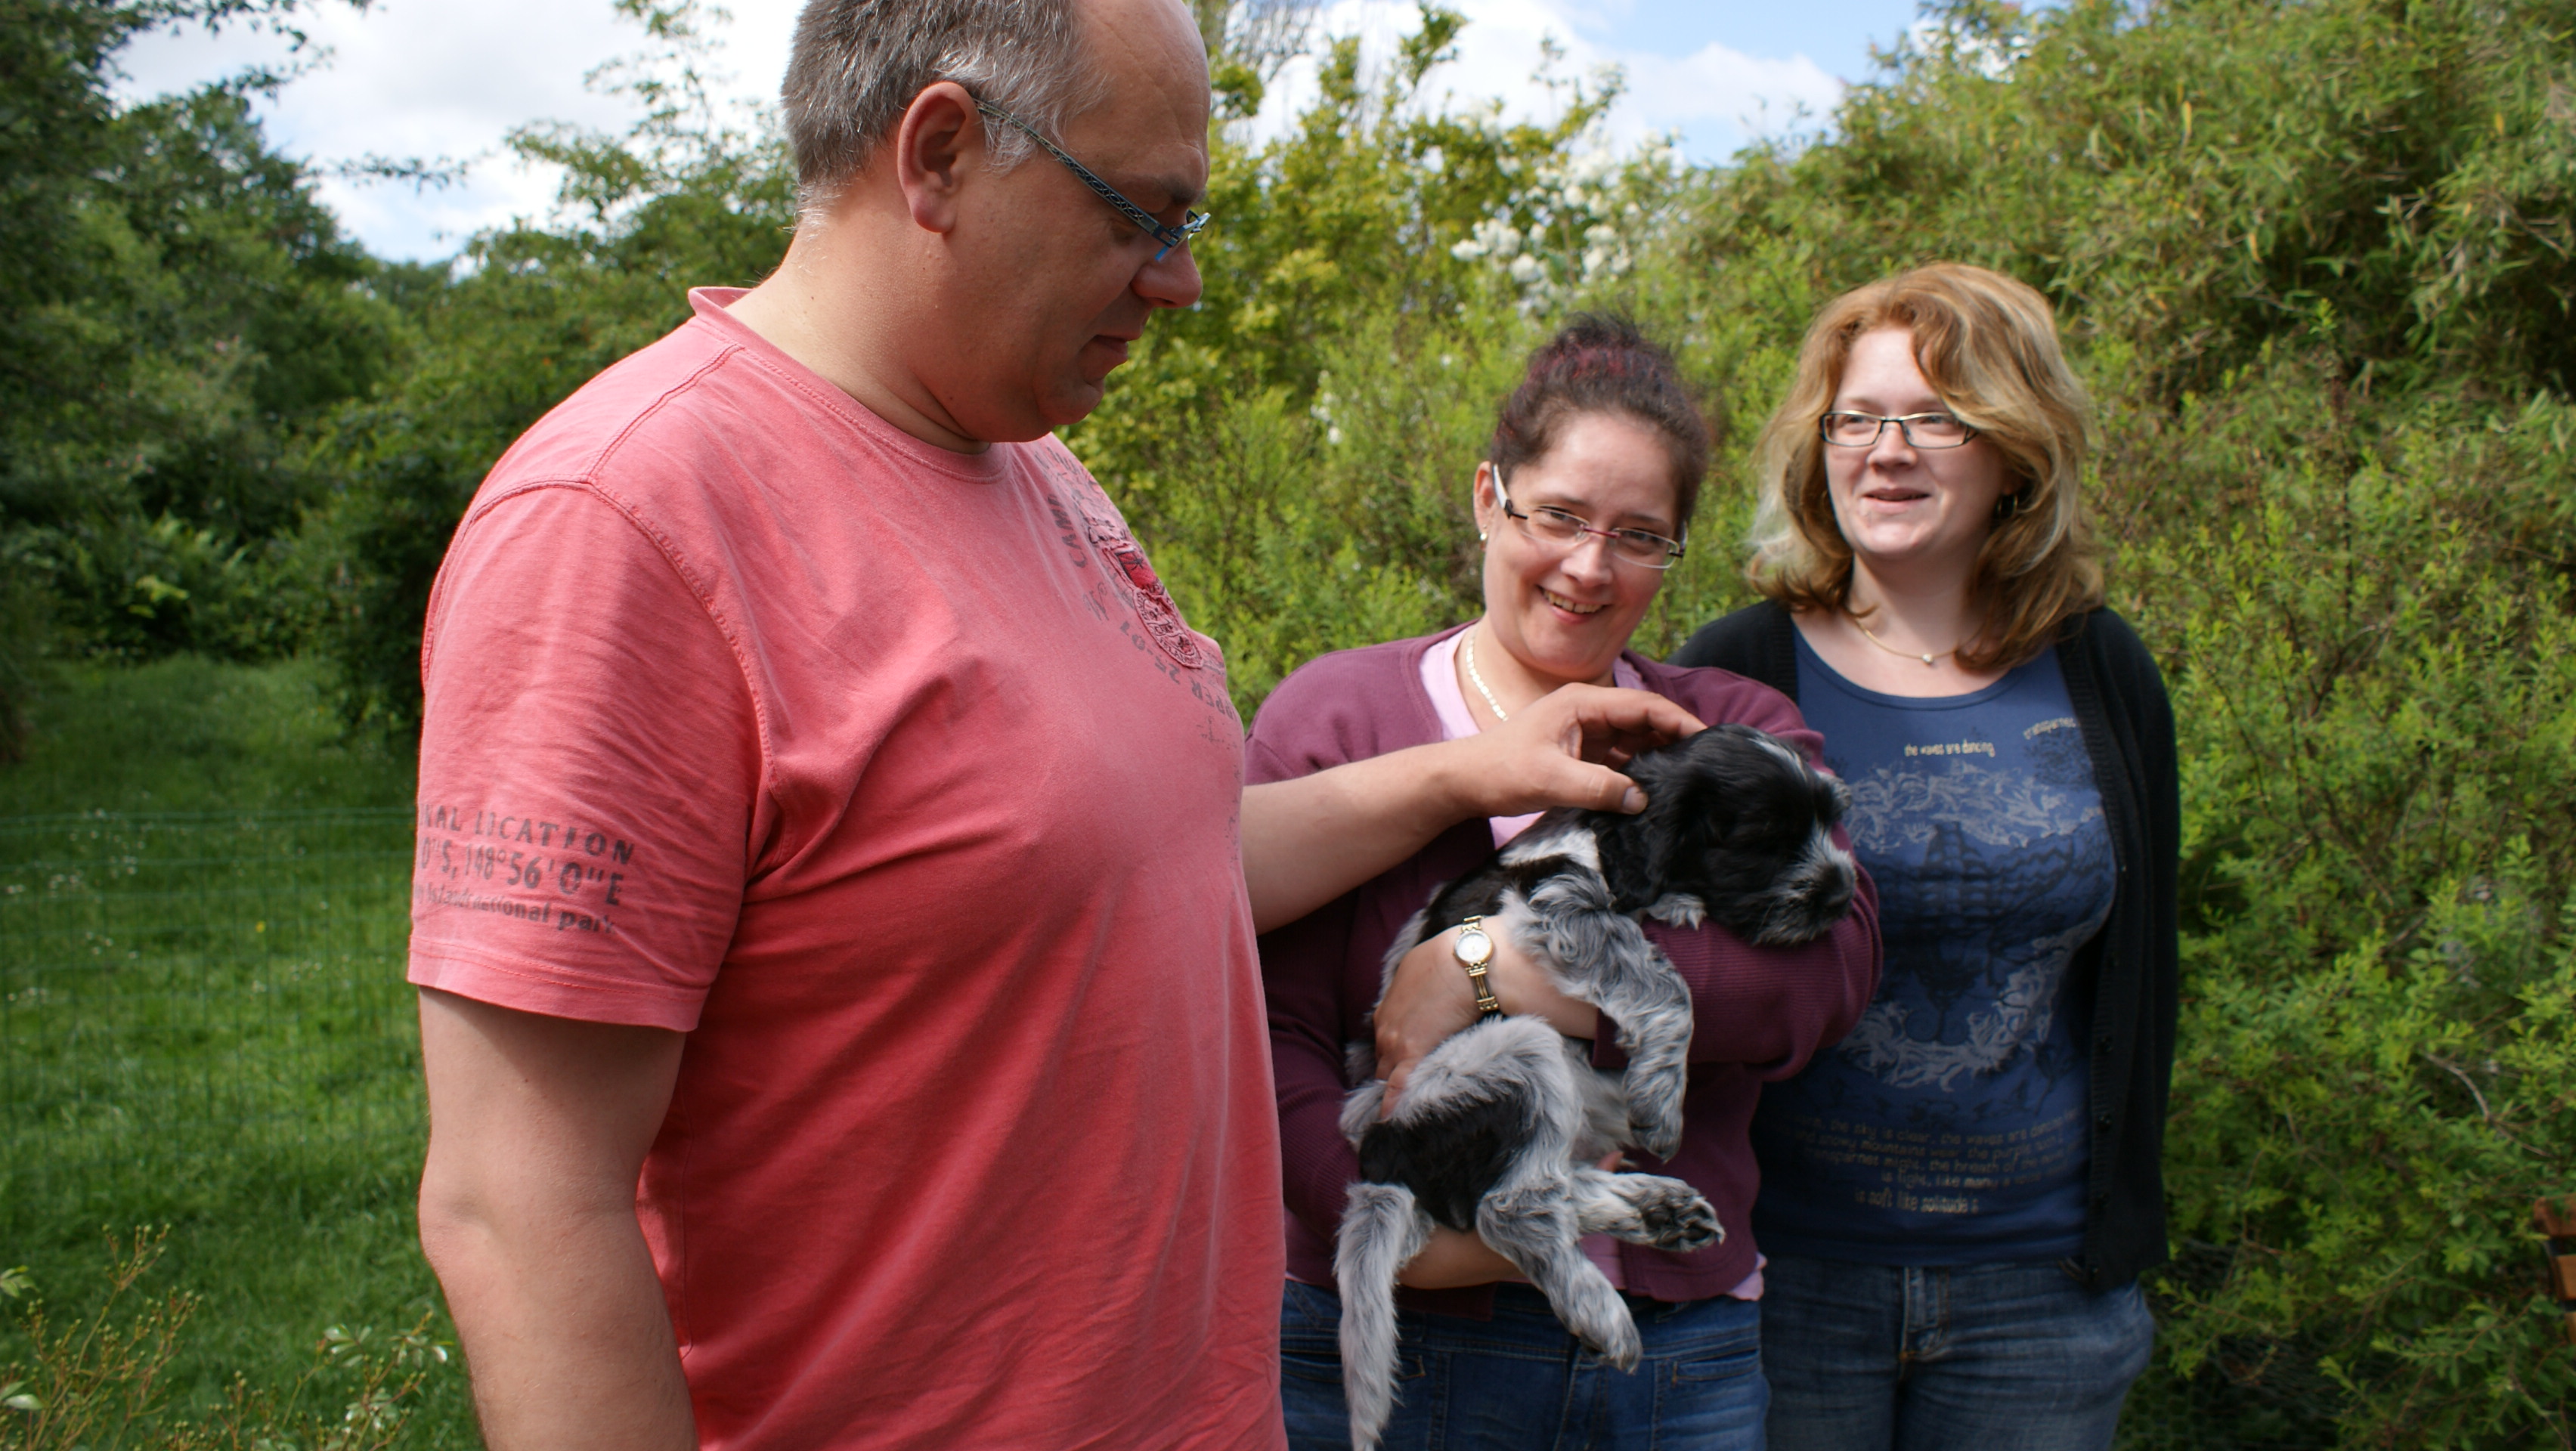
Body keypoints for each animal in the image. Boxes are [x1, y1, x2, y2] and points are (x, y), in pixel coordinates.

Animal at [1329, 726, 1854, 1451]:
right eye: (1764, 840)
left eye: (1830, 820)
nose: (1841, 897)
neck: (1608, 841)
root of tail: (1386, 1153)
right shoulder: (1557, 907)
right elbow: (1666, 985)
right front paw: (1663, 1097)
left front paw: (1677, 905)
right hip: (1518, 1053)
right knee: (1510, 1205)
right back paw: (1603, 1309)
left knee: (1552, 1181)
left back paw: (1660, 1211)